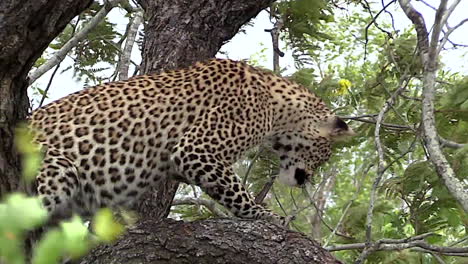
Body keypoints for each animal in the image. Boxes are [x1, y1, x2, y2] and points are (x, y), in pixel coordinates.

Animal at [29, 58, 352, 226]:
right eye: (324, 154)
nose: (306, 180)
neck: (277, 107)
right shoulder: (197, 148)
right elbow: (236, 191)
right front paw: (265, 214)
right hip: (57, 169)